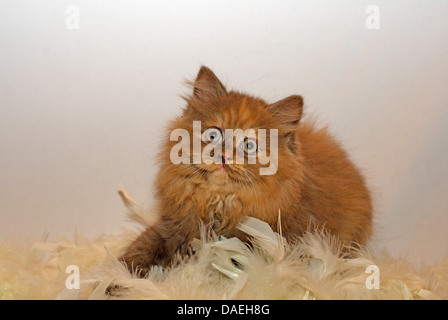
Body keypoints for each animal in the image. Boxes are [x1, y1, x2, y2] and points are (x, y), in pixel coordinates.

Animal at [121, 65, 372, 276]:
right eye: (213, 135)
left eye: (249, 145)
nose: (224, 156)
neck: (219, 203)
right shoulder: (171, 226)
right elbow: (139, 251)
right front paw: (118, 281)